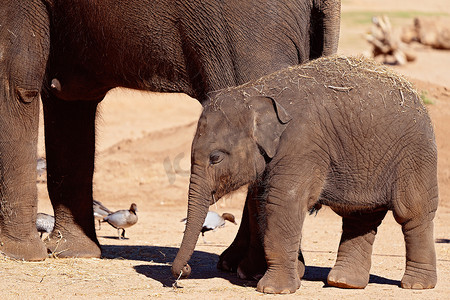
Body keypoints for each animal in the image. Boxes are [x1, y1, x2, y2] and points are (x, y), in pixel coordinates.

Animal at [0, 0, 340, 260]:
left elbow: (15, 81)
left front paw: (18, 255)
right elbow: (66, 98)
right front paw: (70, 253)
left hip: (248, 30)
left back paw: (249, 269)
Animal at [171, 55, 436, 292]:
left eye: (216, 158)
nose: (184, 272)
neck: (255, 91)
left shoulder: (302, 144)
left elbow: (283, 202)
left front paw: (273, 289)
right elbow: (263, 204)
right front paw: (275, 274)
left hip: (415, 155)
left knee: (412, 213)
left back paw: (416, 285)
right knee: (360, 216)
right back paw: (344, 283)